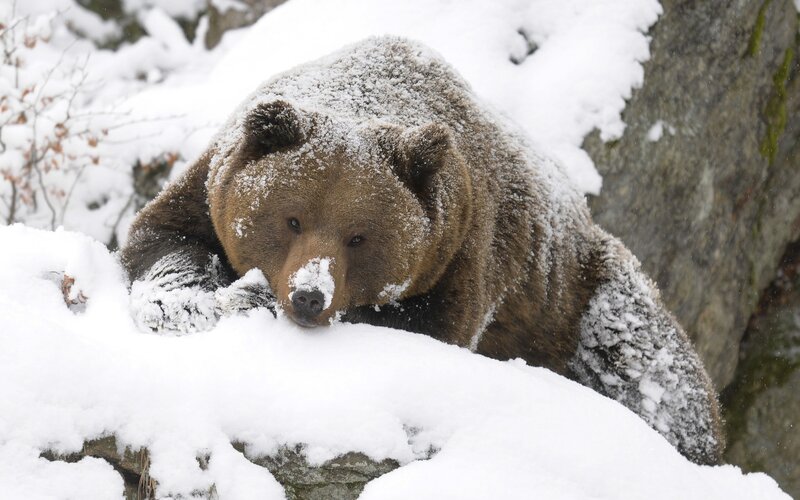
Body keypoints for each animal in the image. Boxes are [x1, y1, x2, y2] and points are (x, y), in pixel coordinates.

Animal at [120, 36, 724, 465]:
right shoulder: (210, 185)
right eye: (291, 218)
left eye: (359, 236)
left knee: (651, 369)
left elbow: (424, 326)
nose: (310, 296)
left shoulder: (463, 251)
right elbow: (163, 237)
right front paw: (183, 302)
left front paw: (250, 298)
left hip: (579, 296)